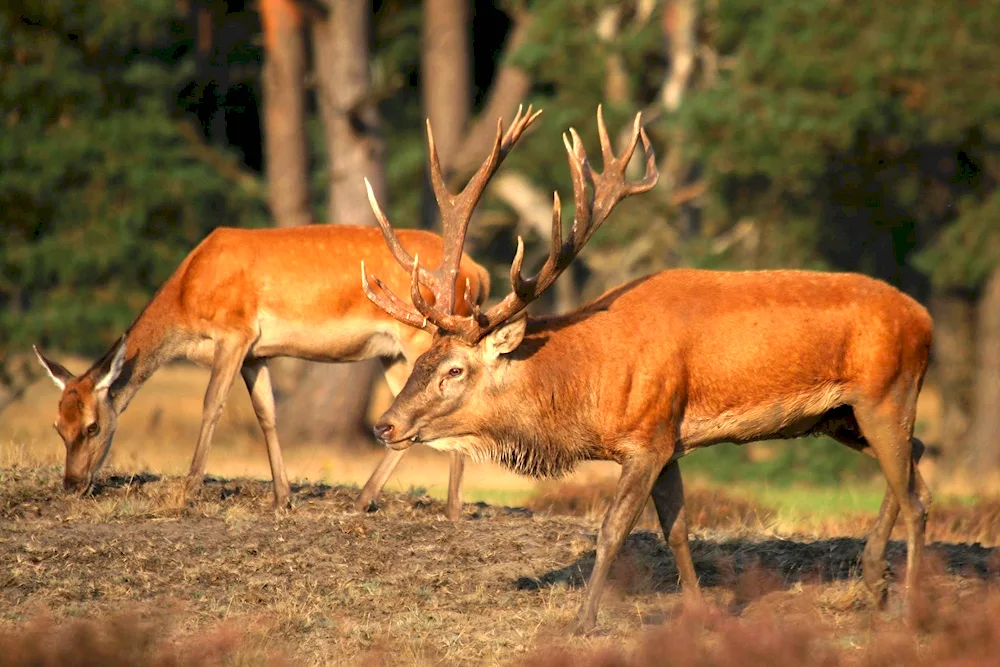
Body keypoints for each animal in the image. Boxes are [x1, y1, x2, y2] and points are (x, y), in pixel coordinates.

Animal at [36, 226, 492, 516]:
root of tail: (480, 272)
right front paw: (282, 498)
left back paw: (450, 508)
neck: (188, 297)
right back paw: (366, 499)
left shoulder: (234, 332)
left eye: (93, 426)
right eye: (58, 425)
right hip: (393, 353)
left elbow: (212, 404)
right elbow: (266, 414)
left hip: (421, 336)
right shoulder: (257, 354)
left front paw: (188, 489)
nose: (72, 483)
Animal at [364, 104, 932, 632]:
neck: (589, 388)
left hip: (885, 393)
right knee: (917, 466)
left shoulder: (646, 438)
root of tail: (925, 320)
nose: (384, 424)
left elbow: (613, 529)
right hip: (842, 416)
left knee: (914, 495)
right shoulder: (670, 439)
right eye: (421, 359)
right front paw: (699, 613)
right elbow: (676, 528)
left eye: (454, 370)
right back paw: (876, 585)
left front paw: (583, 621)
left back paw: (909, 611)